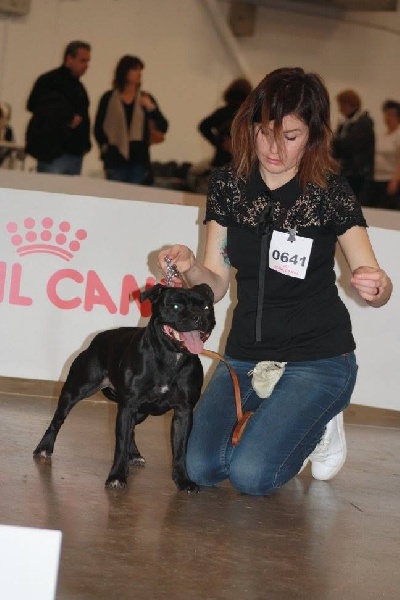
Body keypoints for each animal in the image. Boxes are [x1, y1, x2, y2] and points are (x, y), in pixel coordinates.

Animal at [33, 283, 215, 491]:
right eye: (176, 306)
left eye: (206, 307)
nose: (198, 318)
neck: (171, 357)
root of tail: (98, 338)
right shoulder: (128, 406)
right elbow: (121, 443)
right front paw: (117, 476)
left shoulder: (183, 412)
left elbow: (180, 449)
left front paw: (183, 480)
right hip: (75, 391)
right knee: (58, 420)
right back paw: (44, 447)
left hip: (141, 412)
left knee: (133, 430)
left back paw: (134, 454)